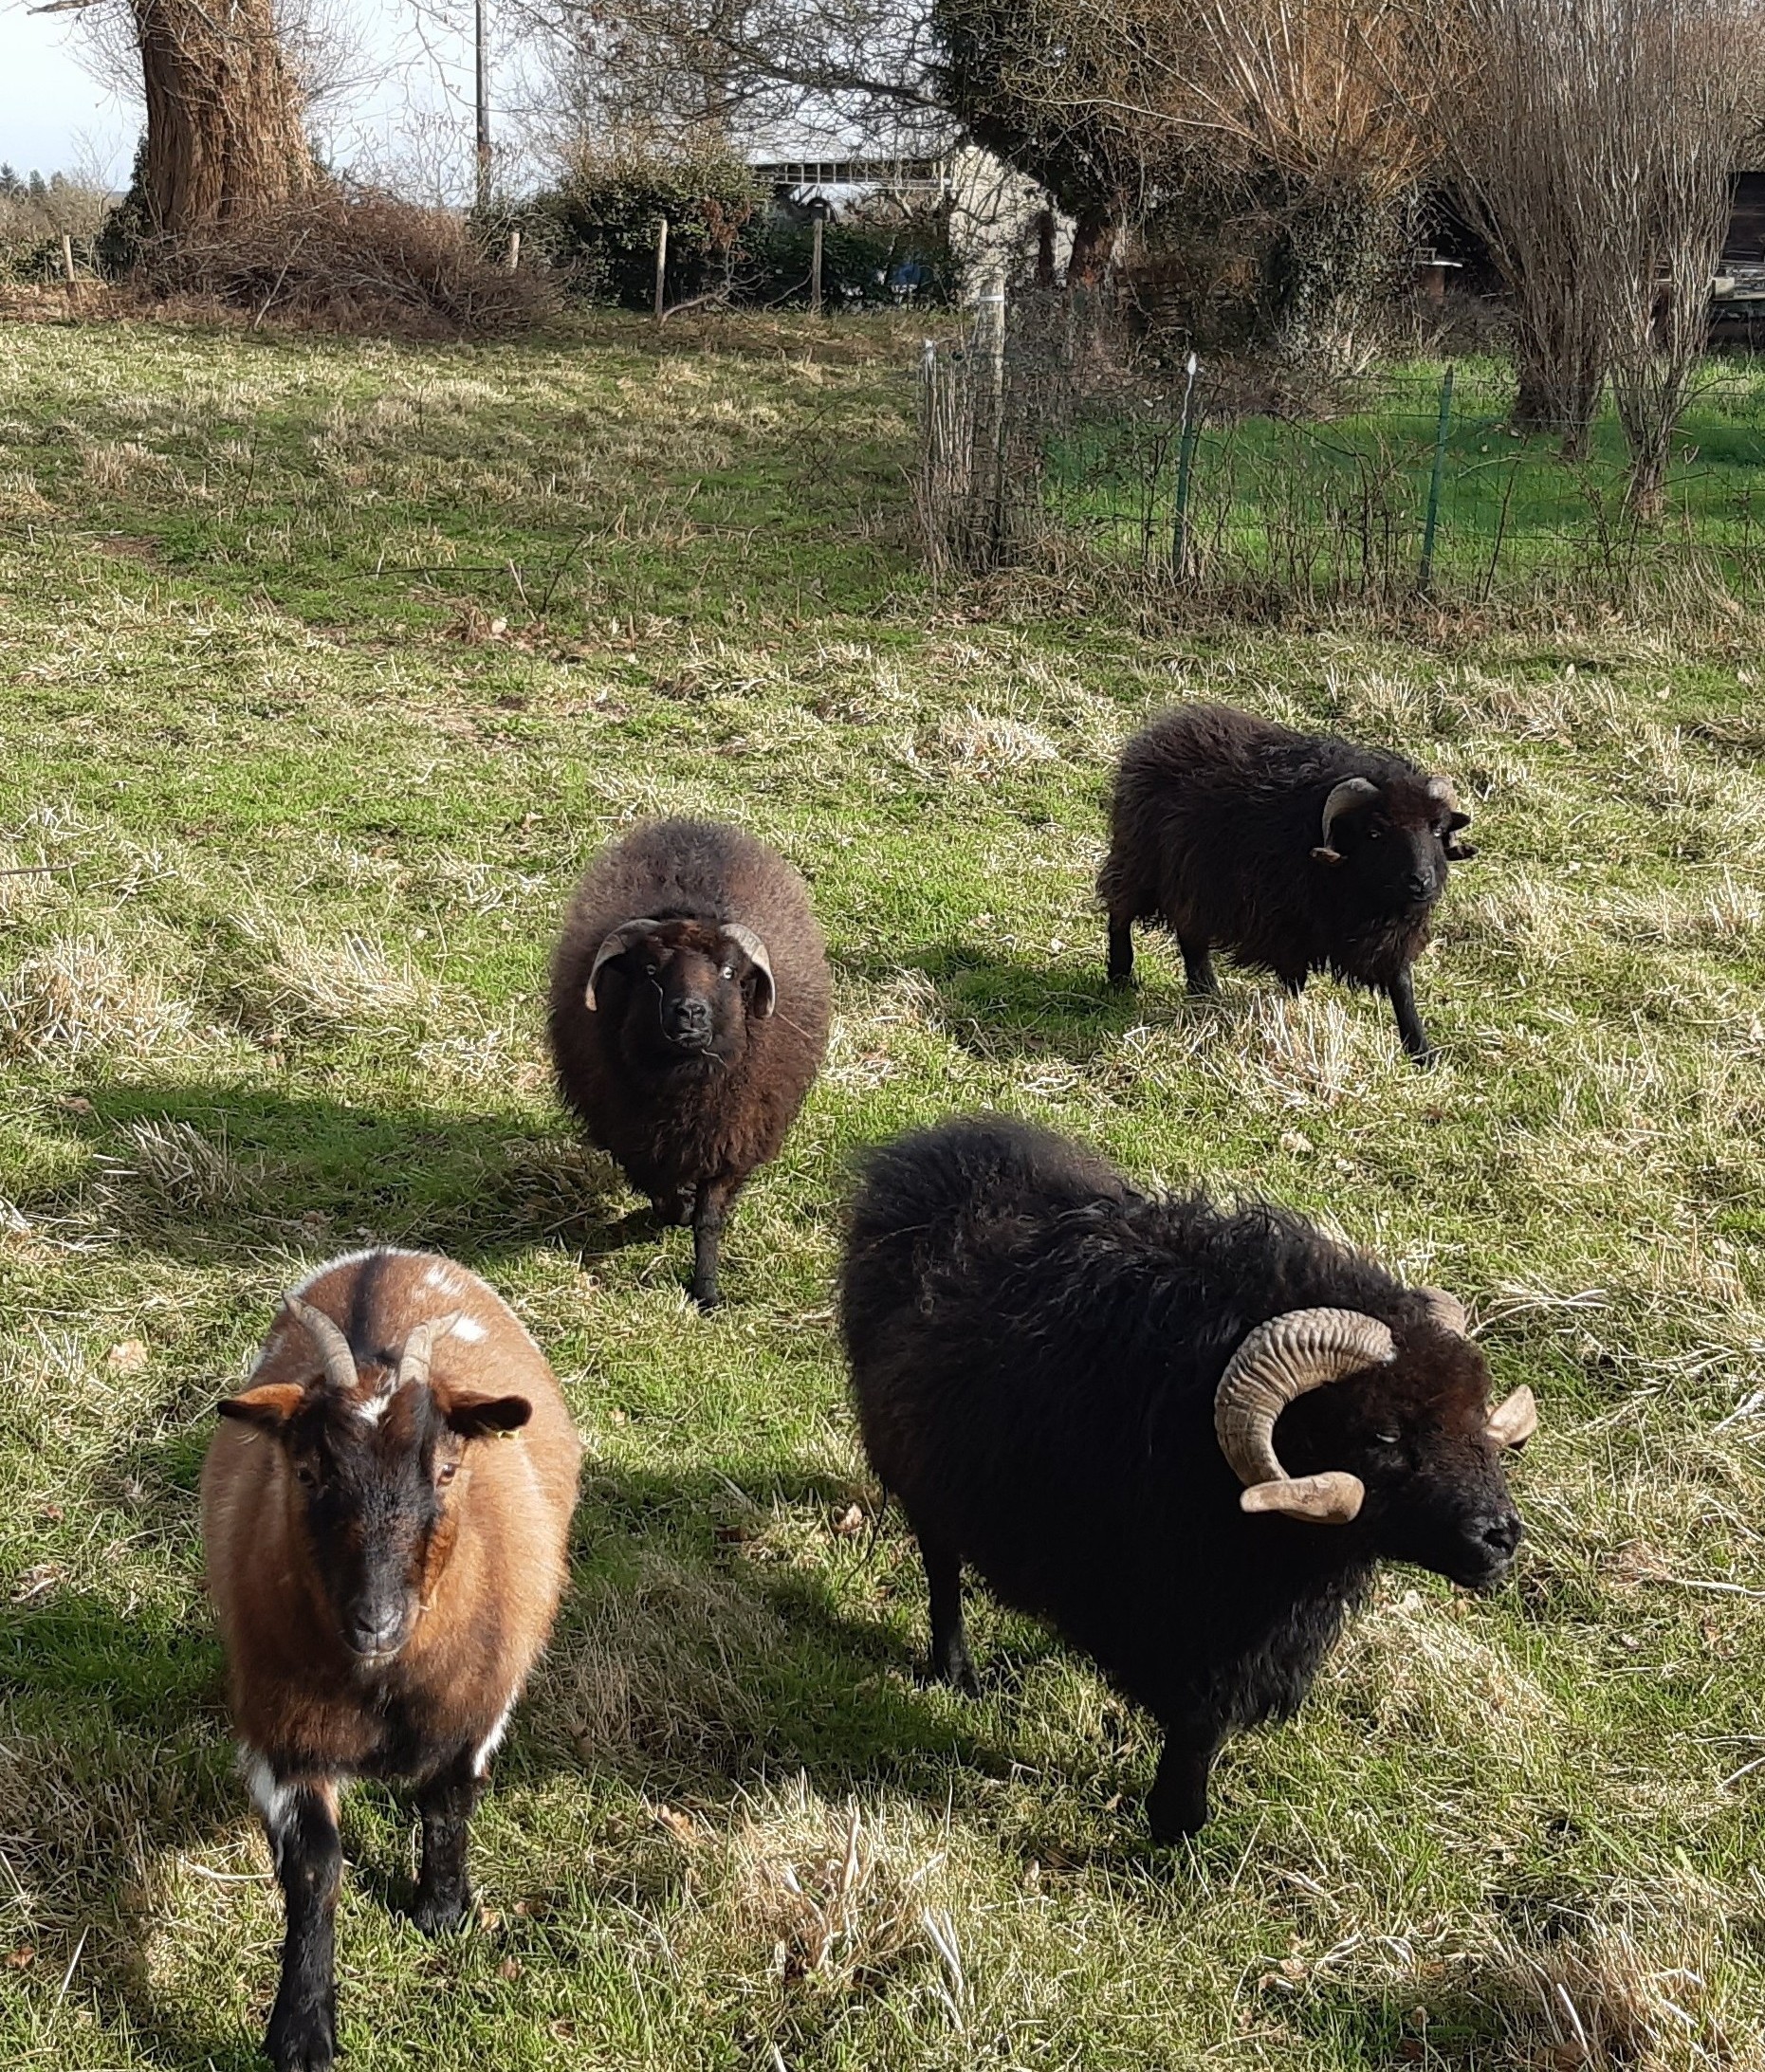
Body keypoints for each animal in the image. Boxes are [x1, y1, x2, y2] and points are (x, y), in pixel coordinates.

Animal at [201, 1243, 579, 2072]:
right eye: (307, 1470)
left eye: (445, 1469)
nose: (375, 1620)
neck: (382, 1684)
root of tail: (389, 1254)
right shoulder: (281, 1732)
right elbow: (314, 1865)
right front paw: (302, 2028)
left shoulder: (477, 1705)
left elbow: (448, 1801)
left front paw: (441, 1910)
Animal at [546, 816, 833, 1301]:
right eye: (648, 970)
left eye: (729, 972)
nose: (689, 1012)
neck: (686, 1091)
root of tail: (692, 825)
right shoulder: (636, 1140)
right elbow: (664, 1199)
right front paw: (675, 1212)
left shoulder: (732, 1142)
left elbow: (709, 1220)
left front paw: (706, 1291)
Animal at [840, 1118, 1533, 1848]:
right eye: (1383, 1436)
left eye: (1478, 1413)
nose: (1500, 1538)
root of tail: (936, 1146)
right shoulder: (1189, 1628)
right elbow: (1197, 1729)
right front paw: (1175, 1833)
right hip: (918, 1464)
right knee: (941, 1566)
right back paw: (955, 1671)